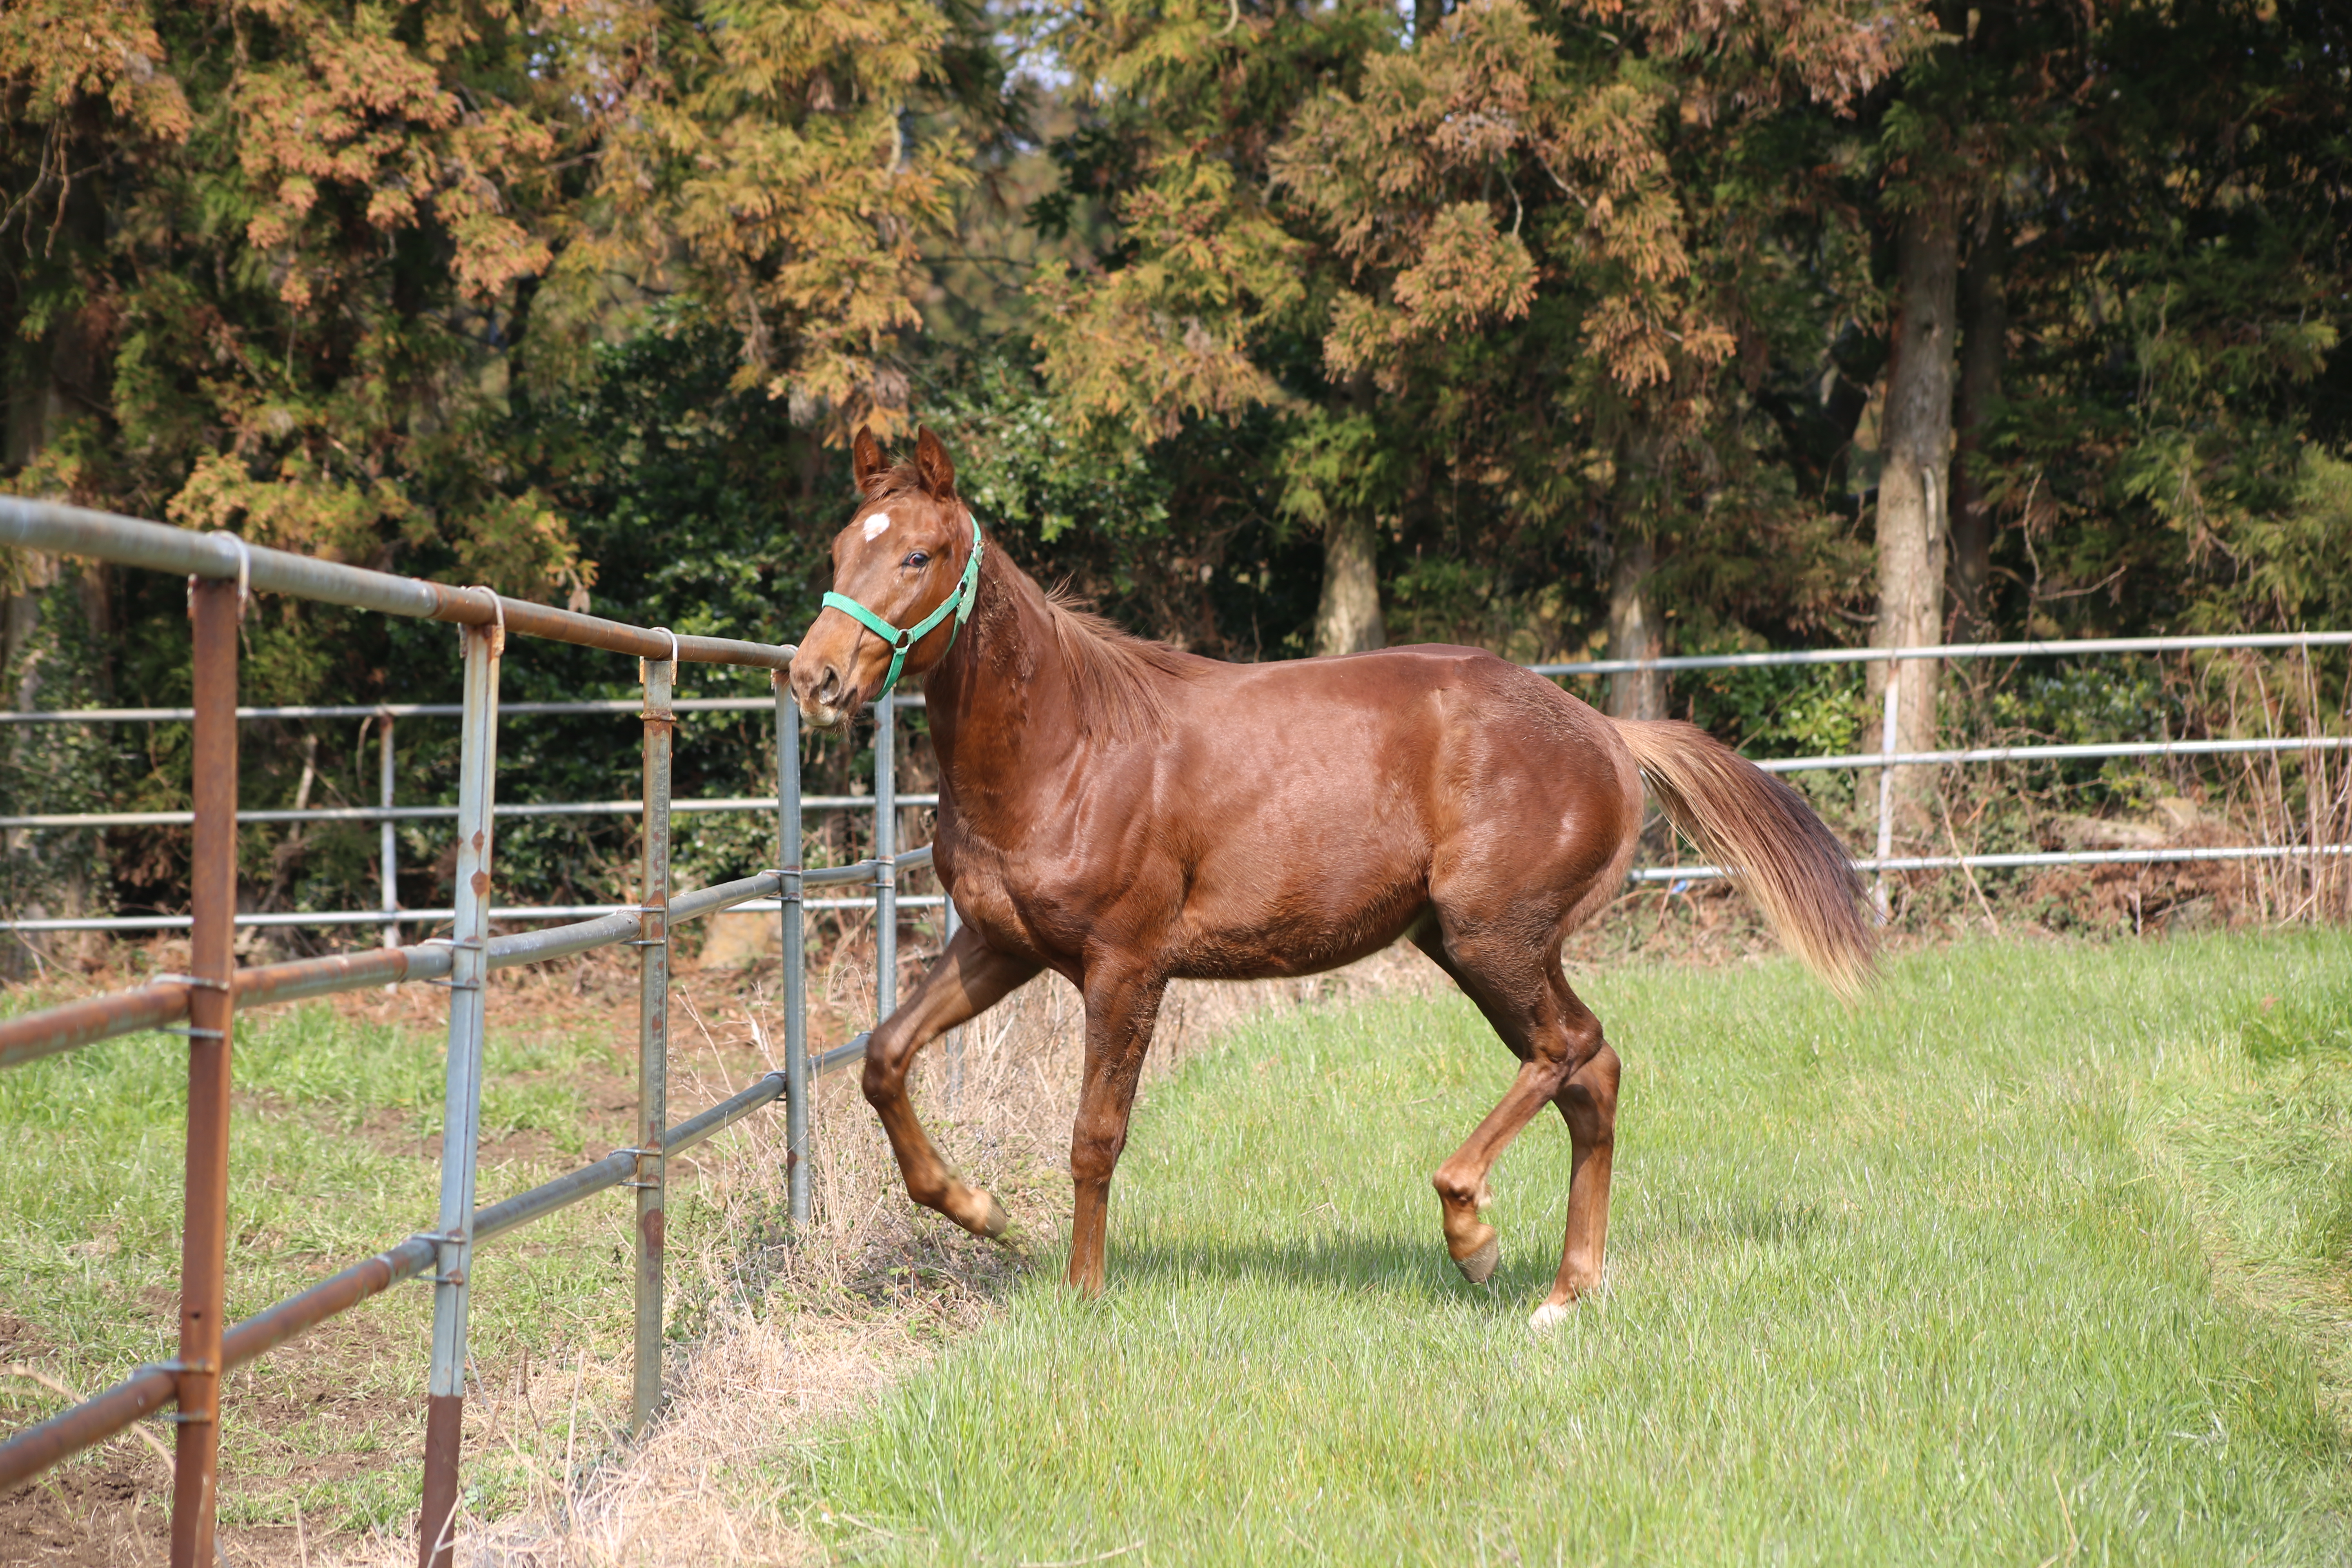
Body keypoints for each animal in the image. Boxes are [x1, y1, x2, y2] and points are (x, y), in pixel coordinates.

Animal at [790, 425, 1872, 1326]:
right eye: (840, 551)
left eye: (918, 555)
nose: (812, 678)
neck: (1069, 749)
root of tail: (1607, 731)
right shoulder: (999, 946)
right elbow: (884, 1057)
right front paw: (978, 1208)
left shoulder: (1126, 965)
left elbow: (1095, 1133)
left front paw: (1082, 1291)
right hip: (1483, 948)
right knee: (1588, 1072)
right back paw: (1564, 1293)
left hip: (1492, 937)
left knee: (1571, 1049)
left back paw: (1472, 1233)